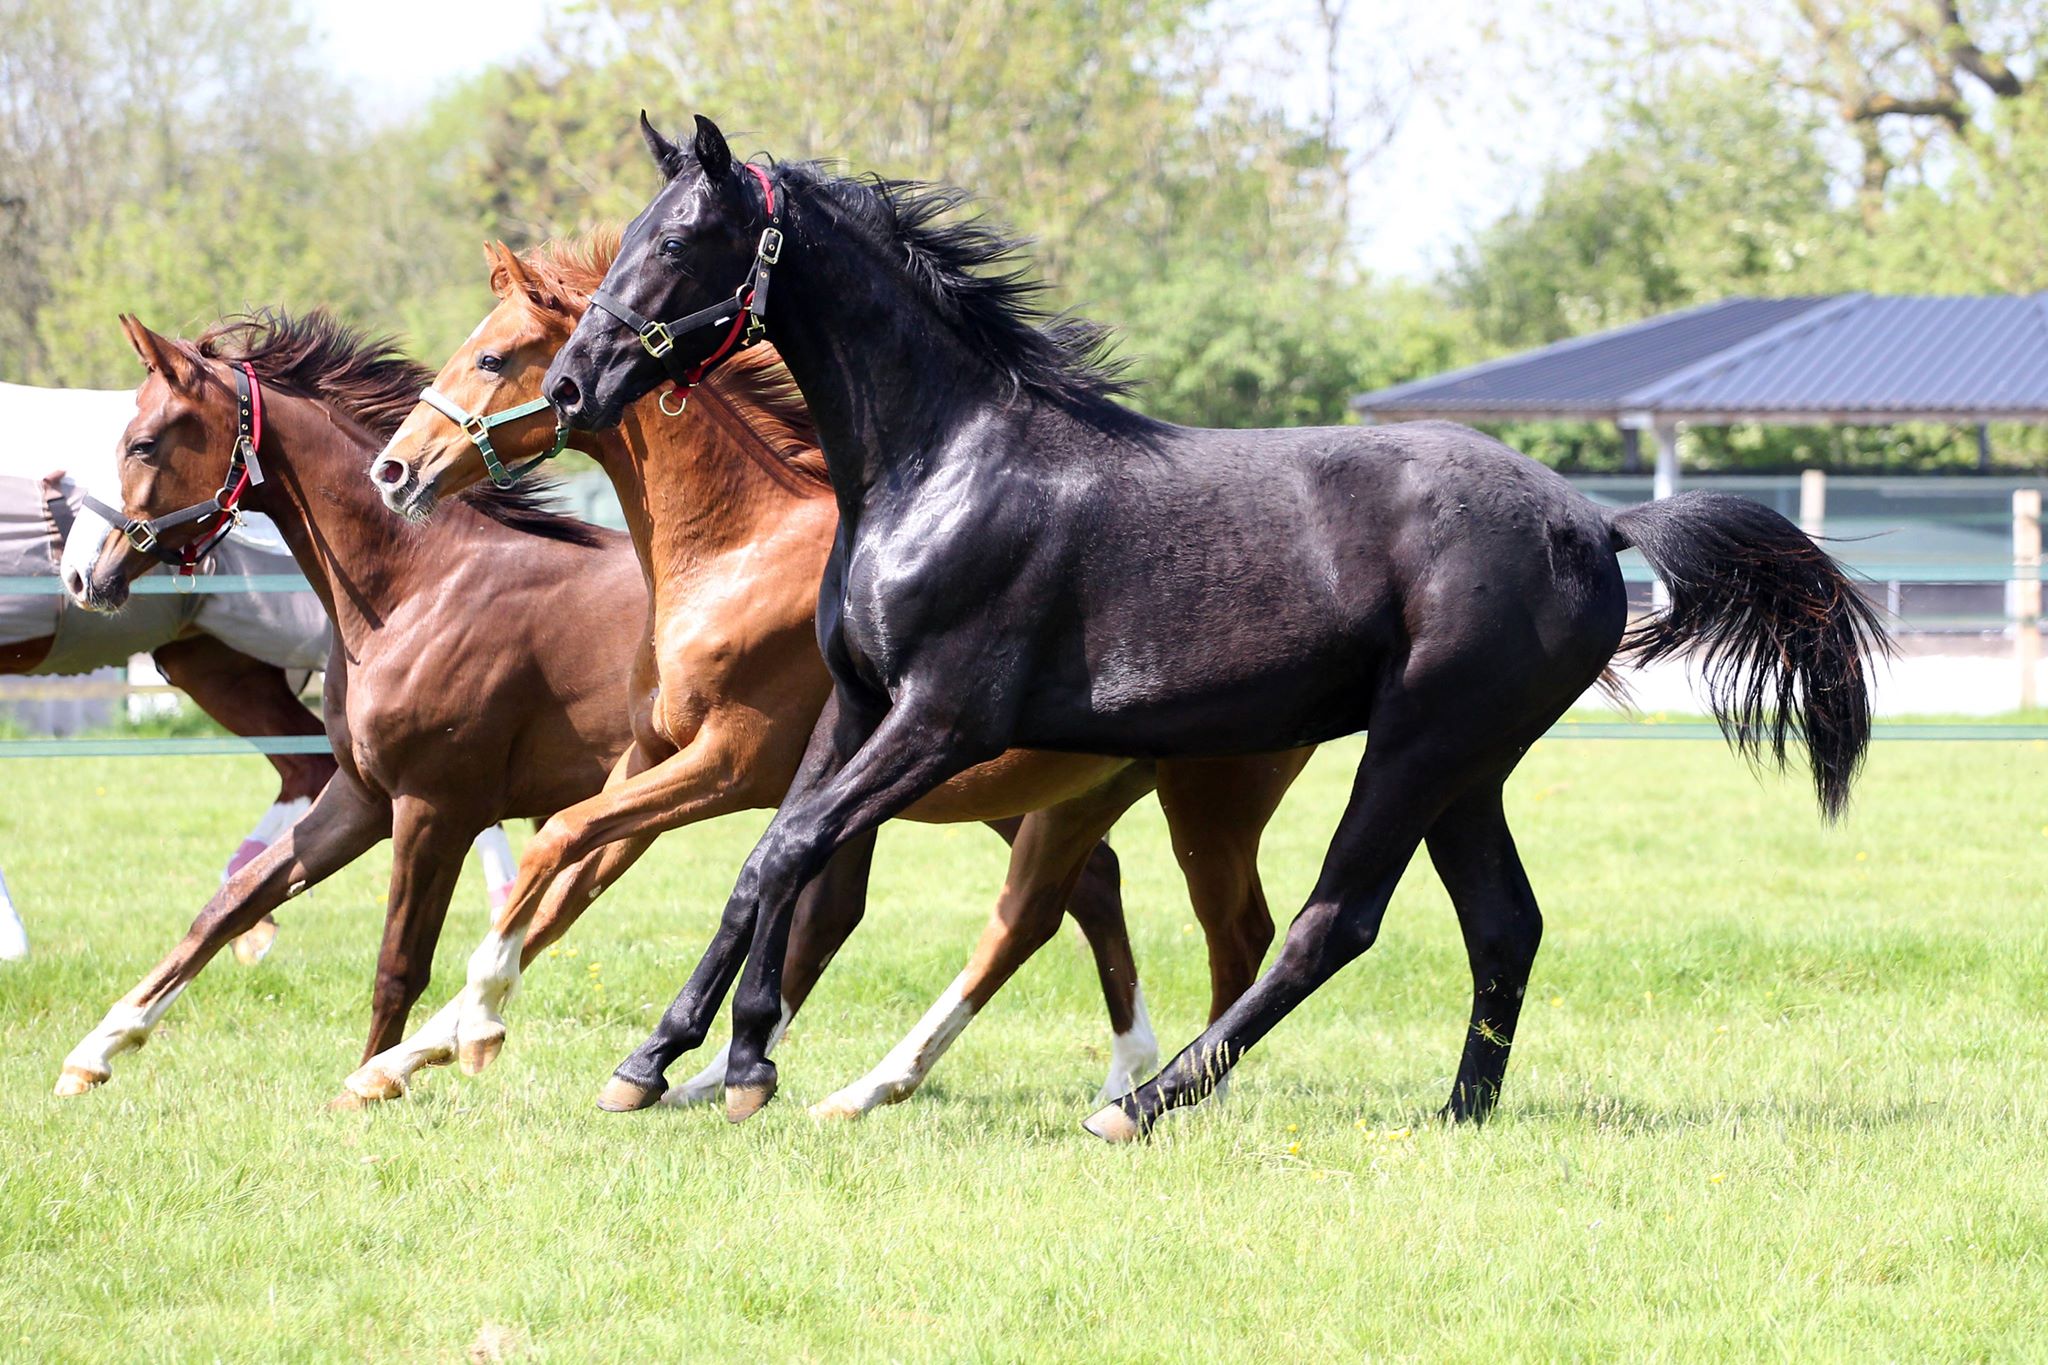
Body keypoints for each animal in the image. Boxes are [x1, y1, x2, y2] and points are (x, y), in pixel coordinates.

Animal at [358, 229, 1302, 1113]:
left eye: (492, 356)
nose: (393, 469)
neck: (737, 549)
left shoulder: (731, 765)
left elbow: (560, 840)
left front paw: (478, 1022)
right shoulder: (652, 757)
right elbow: (562, 890)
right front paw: (408, 1056)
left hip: (1204, 804)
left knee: (1234, 932)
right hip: (1069, 793)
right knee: (1039, 910)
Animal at [544, 114, 1884, 1146]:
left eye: (678, 242)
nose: (568, 388)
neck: (942, 464)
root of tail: (1594, 522)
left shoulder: (939, 719)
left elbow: (783, 851)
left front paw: (727, 1068)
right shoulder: (857, 706)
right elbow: (772, 863)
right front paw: (680, 1062)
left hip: (1417, 745)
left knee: (1329, 924)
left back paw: (1140, 1105)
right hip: (1471, 769)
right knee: (1503, 923)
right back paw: (1457, 1112)